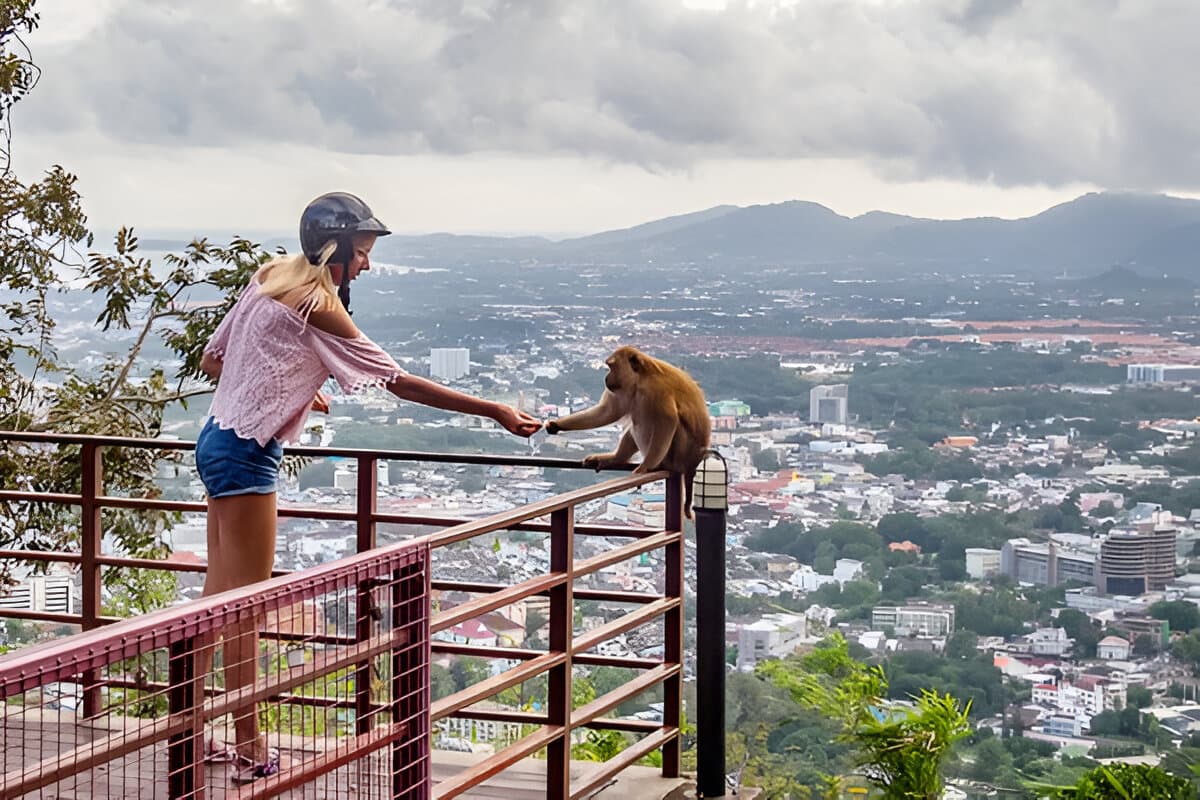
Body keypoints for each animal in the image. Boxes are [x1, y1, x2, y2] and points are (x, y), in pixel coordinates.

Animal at [547, 345, 705, 520]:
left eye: (611, 366)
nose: (606, 377)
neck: (641, 377)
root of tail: (691, 464)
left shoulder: (655, 390)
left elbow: (668, 421)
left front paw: (645, 466)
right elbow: (606, 412)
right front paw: (556, 424)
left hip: (676, 454)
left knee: (647, 420)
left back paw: (655, 463)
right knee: (634, 425)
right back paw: (616, 458)